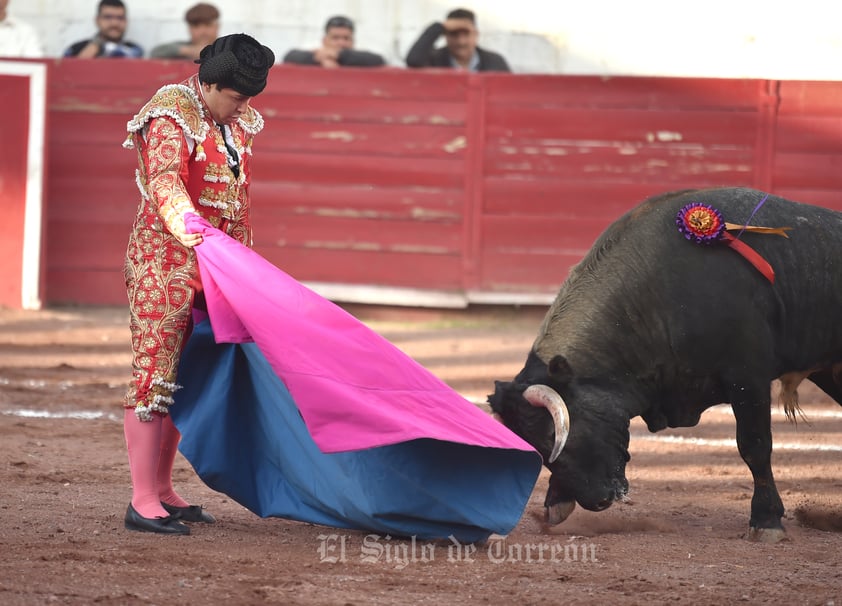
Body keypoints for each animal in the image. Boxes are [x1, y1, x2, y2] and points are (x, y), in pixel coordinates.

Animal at [486, 188, 840, 544]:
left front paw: (767, 521)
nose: (596, 501)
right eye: (535, 444)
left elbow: (754, 445)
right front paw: (557, 502)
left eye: (552, 435)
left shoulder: (748, 377)